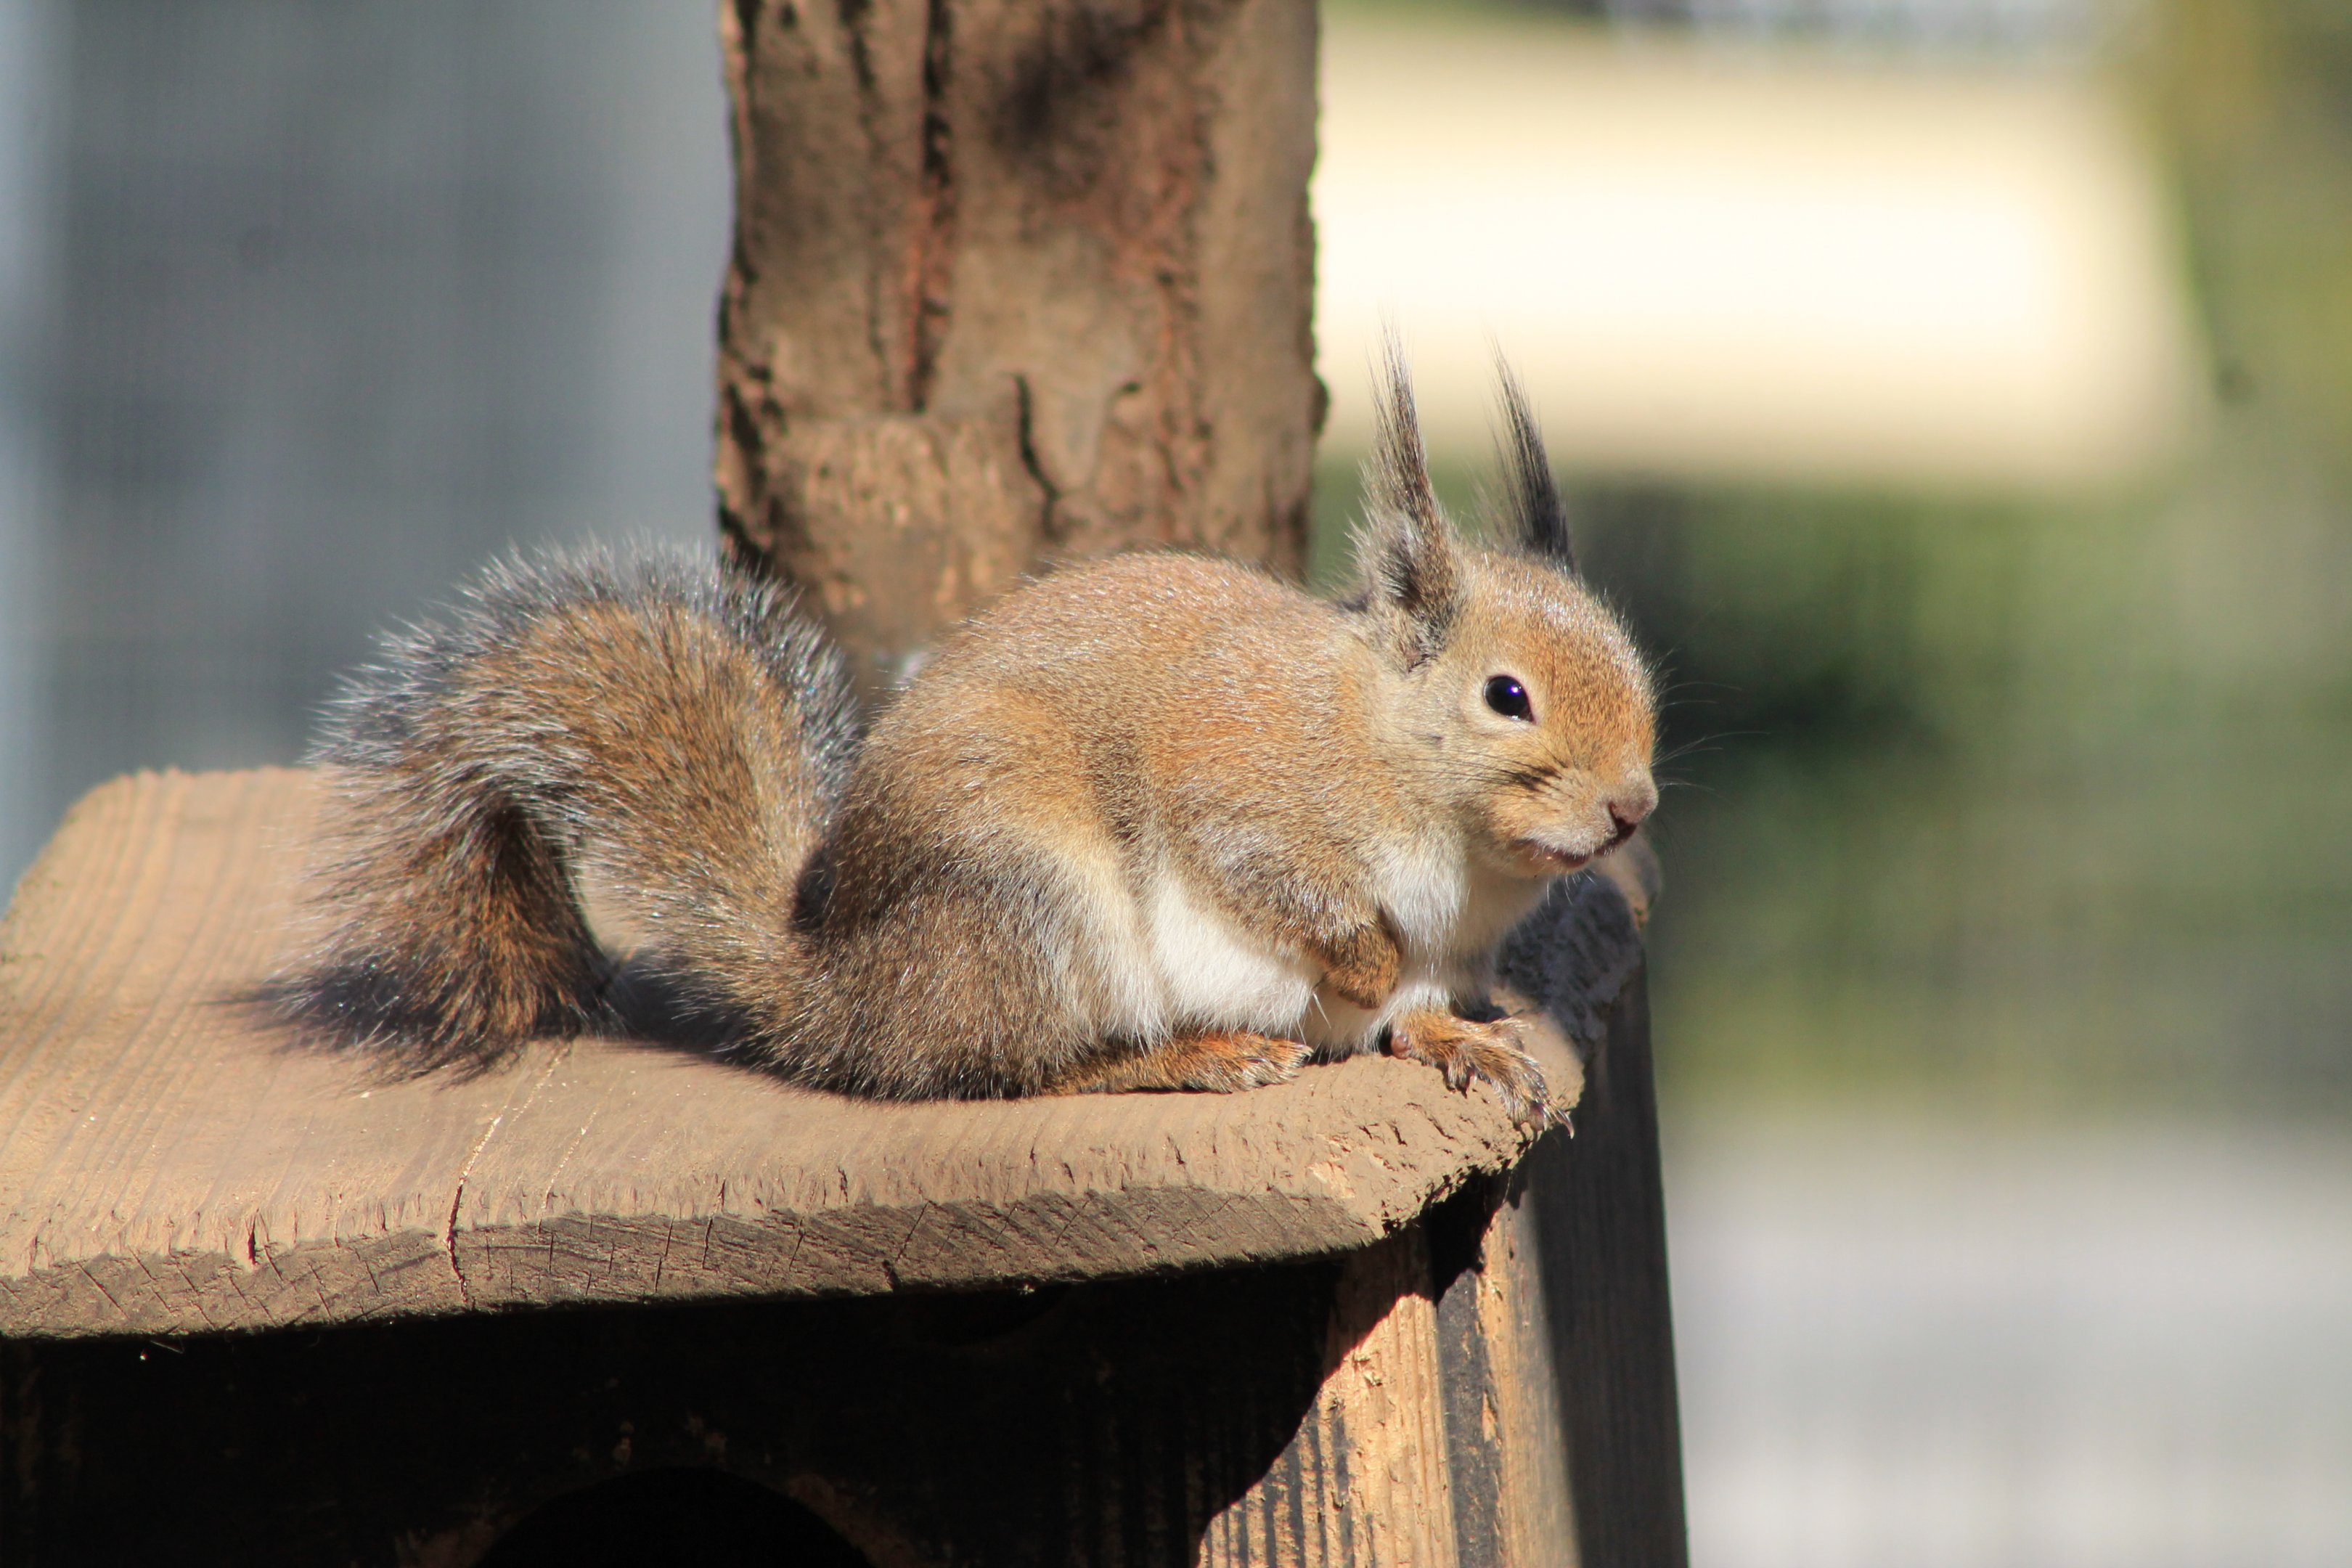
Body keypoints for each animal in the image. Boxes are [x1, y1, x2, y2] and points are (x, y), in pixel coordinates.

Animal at [276, 357, 1657, 1125]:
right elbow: (1286, 888)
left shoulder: (1456, 946)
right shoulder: (1246, 787)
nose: (1632, 809)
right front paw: (1361, 964)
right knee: (1009, 1073)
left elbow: (1420, 1008)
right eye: (1508, 696)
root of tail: (847, 995)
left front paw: (1464, 1039)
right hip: (1031, 903)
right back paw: (1194, 1058)